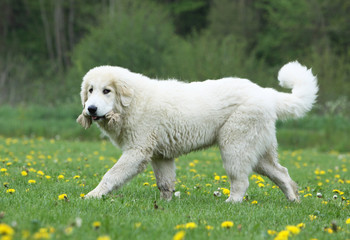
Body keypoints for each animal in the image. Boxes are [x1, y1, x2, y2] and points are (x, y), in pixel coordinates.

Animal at [78, 61, 318, 202]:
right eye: (90, 90)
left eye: (106, 91)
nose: (90, 109)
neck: (134, 101)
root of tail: (266, 93)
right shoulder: (161, 157)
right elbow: (165, 184)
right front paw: (164, 205)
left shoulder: (136, 152)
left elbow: (110, 175)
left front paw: (92, 195)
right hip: (259, 153)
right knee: (282, 173)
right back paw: (294, 200)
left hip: (234, 148)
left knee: (241, 181)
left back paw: (231, 203)